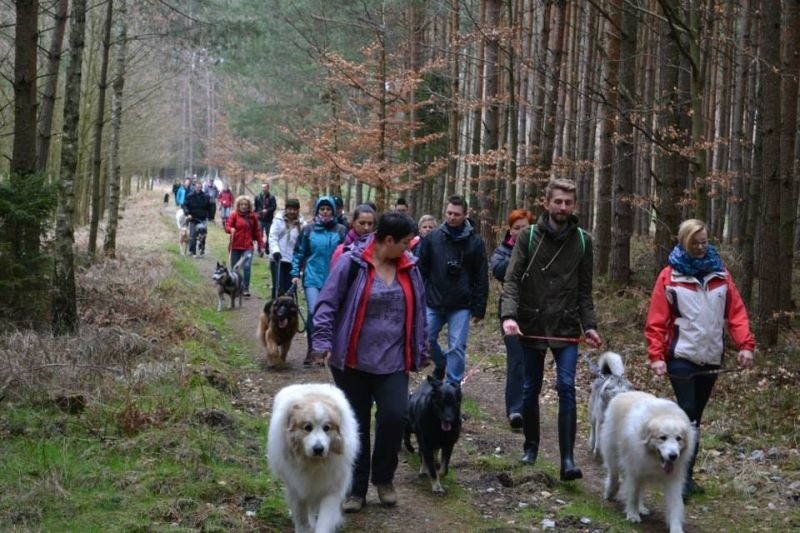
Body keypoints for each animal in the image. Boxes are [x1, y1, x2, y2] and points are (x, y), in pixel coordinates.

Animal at [268, 382, 358, 532]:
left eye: (327, 428)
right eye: (307, 427)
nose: (318, 449)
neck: (314, 464)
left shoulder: (331, 490)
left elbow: (324, 521)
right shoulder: (297, 488)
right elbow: (301, 517)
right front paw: (304, 528)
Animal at [600, 388, 692, 528]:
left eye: (678, 438)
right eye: (662, 438)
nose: (673, 456)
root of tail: (625, 392)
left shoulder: (673, 478)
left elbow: (675, 505)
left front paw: (676, 528)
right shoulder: (634, 470)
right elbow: (633, 495)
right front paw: (632, 515)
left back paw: (641, 508)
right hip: (612, 452)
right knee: (614, 475)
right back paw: (611, 491)